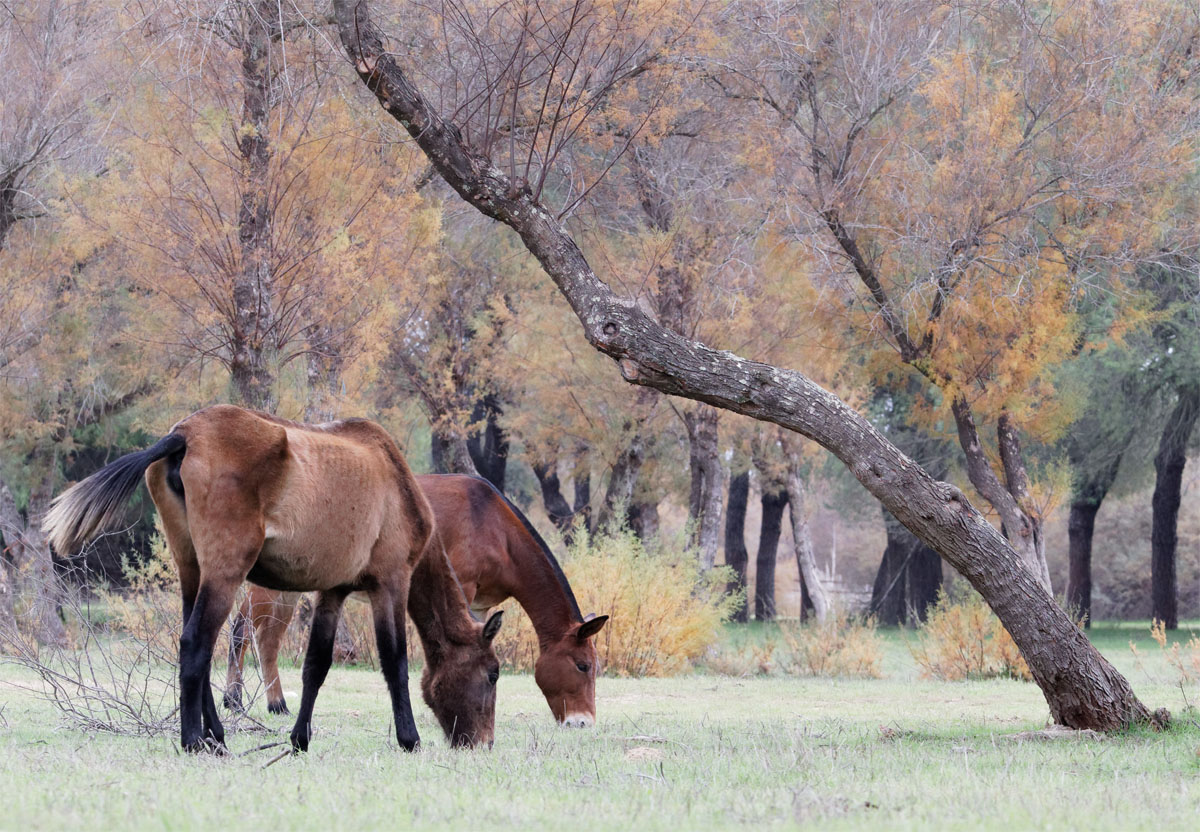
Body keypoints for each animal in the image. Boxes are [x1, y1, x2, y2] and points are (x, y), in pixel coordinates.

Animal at [43, 405, 502, 753]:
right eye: (493, 673)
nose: (483, 742)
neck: (395, 480)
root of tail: (184, 435)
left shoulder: (332, 591)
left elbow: (316, 665)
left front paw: (300, 738)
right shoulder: (391, 583)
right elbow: (396, 663)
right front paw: (409, 739)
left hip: (192, 569)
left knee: (199, 644)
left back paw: (215, 735)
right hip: (225, 573)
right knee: (195, 644)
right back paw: (194, 740)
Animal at [225, 474, 608, 727]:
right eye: (582, 666)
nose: (583, 722)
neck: (494, 528)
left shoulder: (481, 606)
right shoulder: (460, 588)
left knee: (267, 639)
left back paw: (273, 703)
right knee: (242, 629)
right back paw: (237, 699)